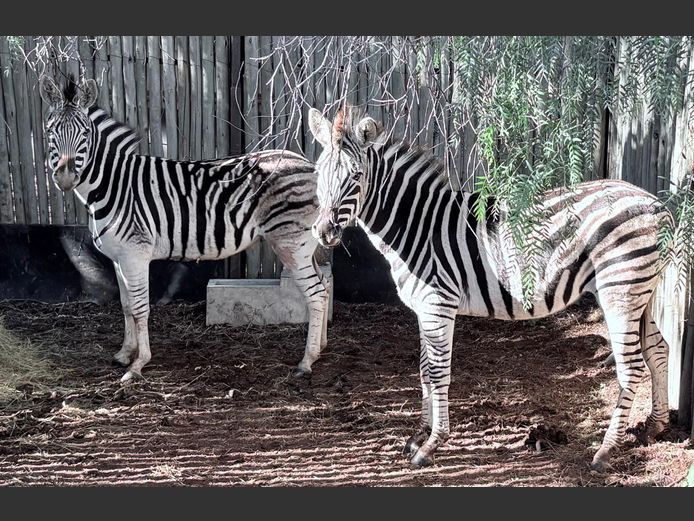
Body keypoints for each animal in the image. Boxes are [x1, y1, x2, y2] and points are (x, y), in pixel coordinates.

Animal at [38, 74, 330, 383]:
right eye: (50, 131)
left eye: (85, 134)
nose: (65, 178)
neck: (113, 185)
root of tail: (308, 164)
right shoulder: (119, 258)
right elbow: (125, 306)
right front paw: (124, 354)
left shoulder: (134, 254)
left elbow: (140, 308)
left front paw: (138, 364)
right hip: (304, 246)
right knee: (324, 287)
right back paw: (321, 347)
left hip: (291, 244)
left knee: (315, 294)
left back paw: (306, 361)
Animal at [307, 106, 672, 471]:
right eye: (318, 173)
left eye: (356, 177)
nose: (324, 231)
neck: (416, 226)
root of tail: (656, 204)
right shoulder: (424, 308)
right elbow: (424, 370)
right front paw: (418, 435)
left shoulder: (438, 304)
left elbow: (438, 372)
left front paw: (432, 444)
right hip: (641, 293)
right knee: (658, 349)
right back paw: (654, 426)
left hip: (619, 289)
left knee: (631, 367)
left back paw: (605, 451)